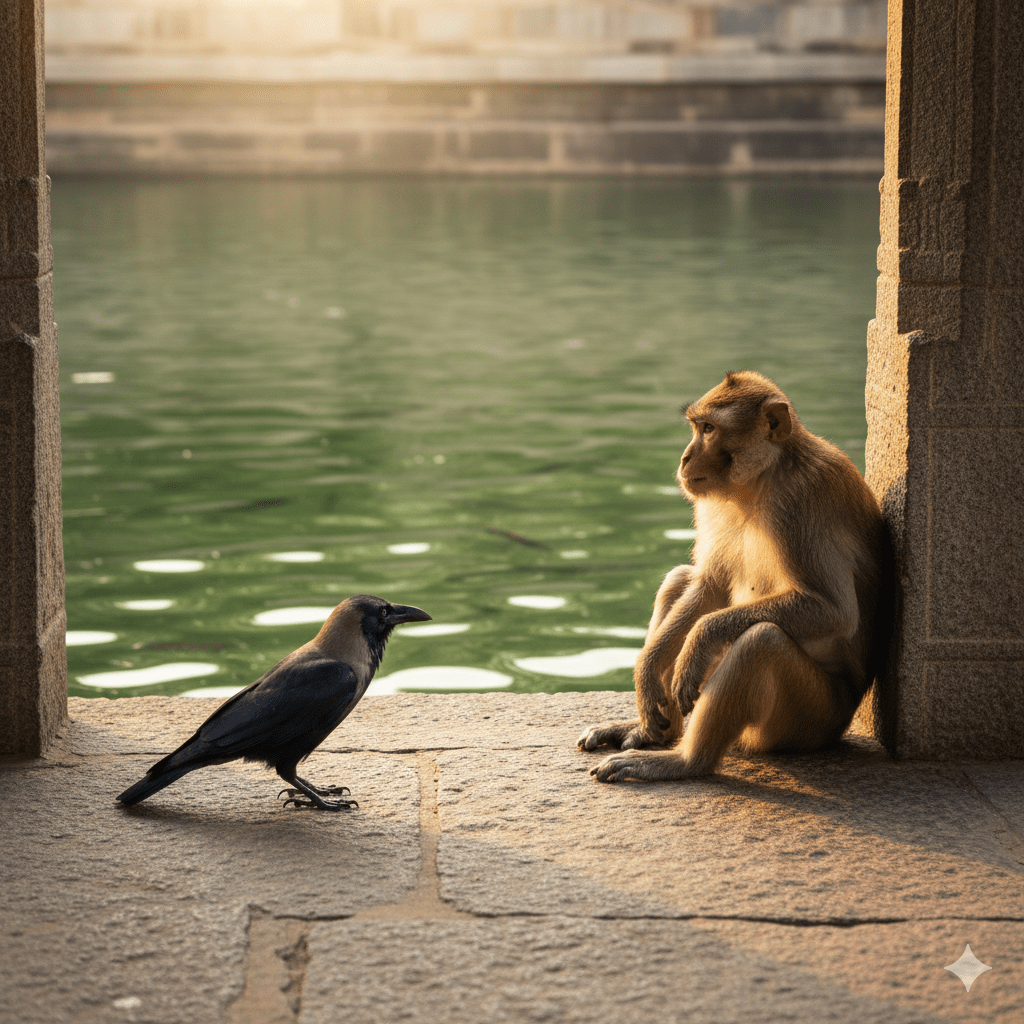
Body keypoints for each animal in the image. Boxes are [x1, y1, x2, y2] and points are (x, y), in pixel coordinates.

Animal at [577, 370, 886, 783]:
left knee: (761, 642)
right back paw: (653, 732)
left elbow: (834, 610)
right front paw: (646, 671)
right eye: (697, 427)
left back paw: (684, 761)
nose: (685, 457)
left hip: (808, 721)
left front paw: (699, 640)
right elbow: (710, 585)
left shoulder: (804, 499)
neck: (763, 478)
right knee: (679, 579)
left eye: (709, 429)